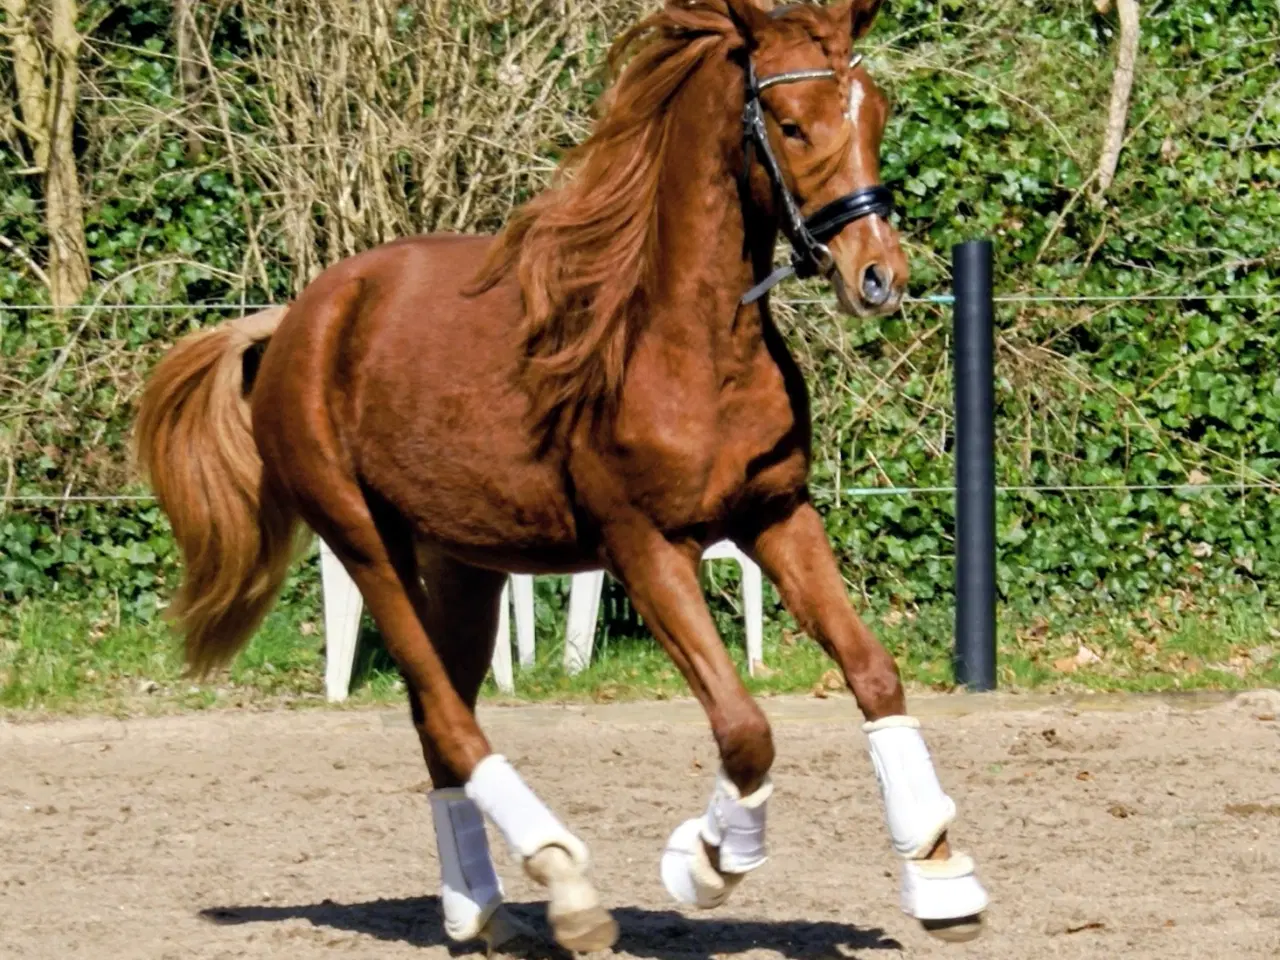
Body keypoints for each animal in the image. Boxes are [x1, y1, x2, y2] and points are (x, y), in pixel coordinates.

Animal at [134, 0, 989, 949]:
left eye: (876, 115)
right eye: (793, 124)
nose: (878, 275)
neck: (689, 345)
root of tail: (293, 322)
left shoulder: (776, 514)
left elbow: (872, 672)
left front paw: (940, 876)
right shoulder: (646, 549)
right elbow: (744, 728)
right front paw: (704, 863)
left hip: (464, 564)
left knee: (439, 723)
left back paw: (480, 912)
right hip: (365, 543)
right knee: (449, 718)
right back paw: (566, 884)